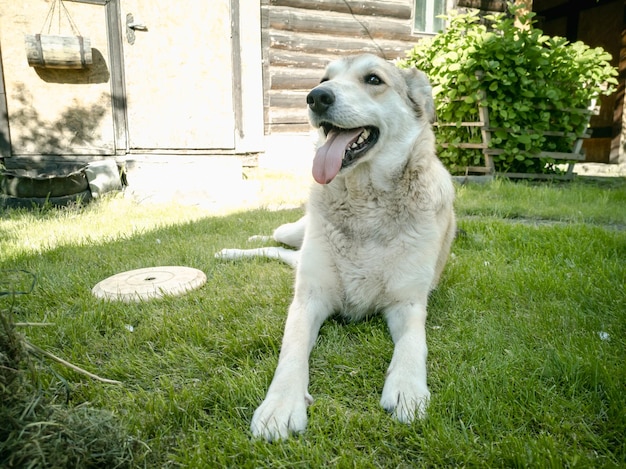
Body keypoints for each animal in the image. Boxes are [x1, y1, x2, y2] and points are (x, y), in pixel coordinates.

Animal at [217, 54, 456, 438]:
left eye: (373, 79)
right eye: (323, 79)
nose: (316, 97)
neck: (365, 202)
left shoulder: (408, 303)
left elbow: (413, 344)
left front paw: (407, 388)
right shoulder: (308, 299)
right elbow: (291, 350)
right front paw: (280, 404)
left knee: (282, 253)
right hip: (293, 233)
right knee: (274, 239)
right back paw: (236, 248)